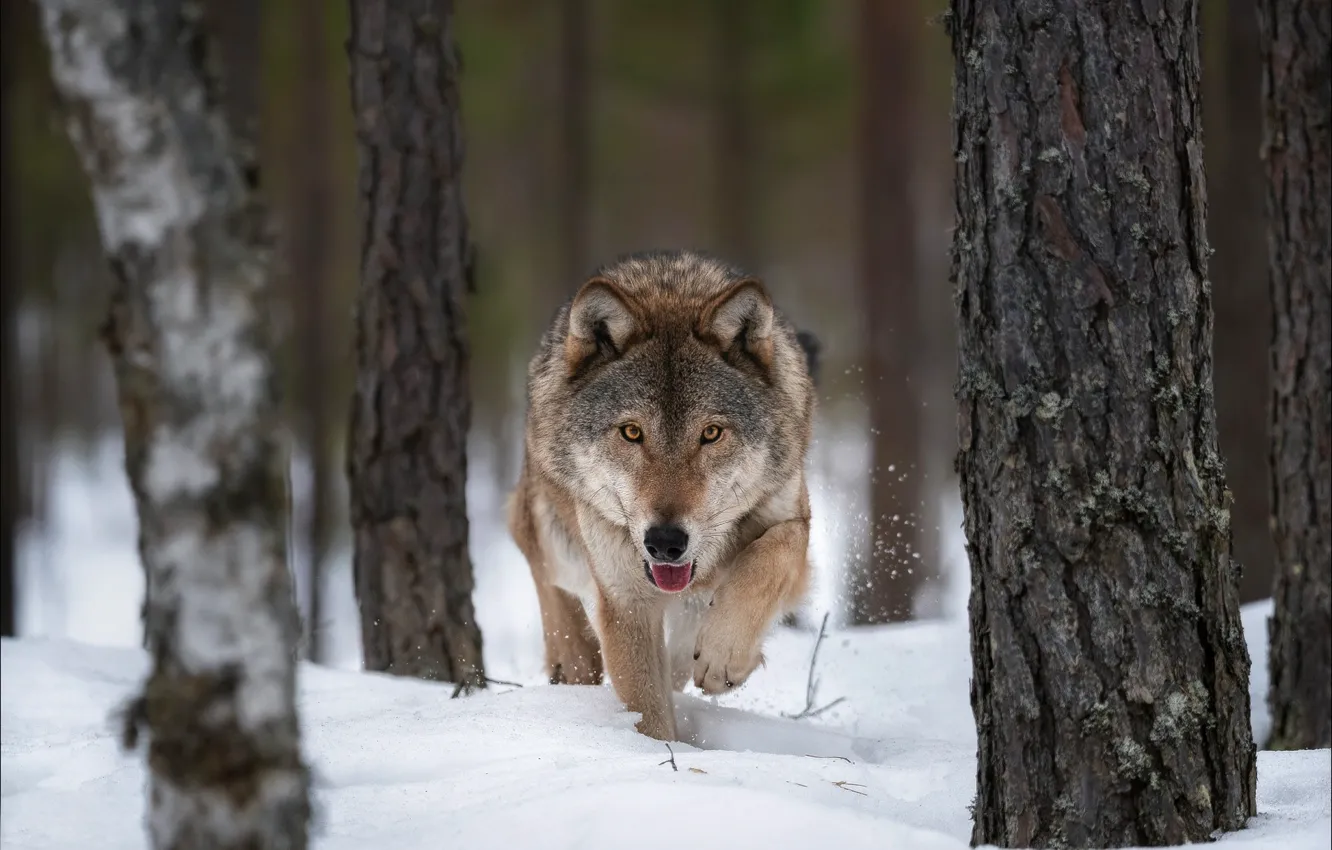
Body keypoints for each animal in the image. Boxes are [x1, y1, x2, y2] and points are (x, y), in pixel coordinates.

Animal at [506, 249, 818, 741]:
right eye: (632, 432)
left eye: (711, 433)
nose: (666, 543)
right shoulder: (626, 601)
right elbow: (647, 712)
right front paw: (658, 754)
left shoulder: (792, 516)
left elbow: (770, 556)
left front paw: (724, 657)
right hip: (553, 536)